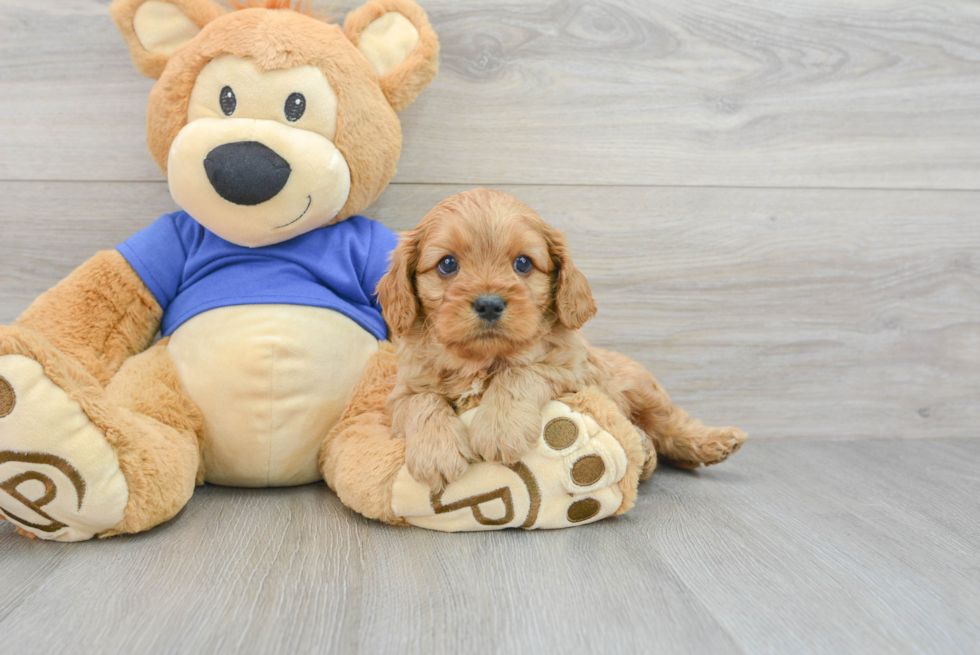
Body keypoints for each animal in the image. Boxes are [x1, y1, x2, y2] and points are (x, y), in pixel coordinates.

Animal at [378, 187, 748, 490]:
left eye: (523, 263)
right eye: (447, 264)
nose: (489, 304)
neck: (481, 359)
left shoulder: (572, 373)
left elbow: (521, 372)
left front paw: (500, 427)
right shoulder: (401, 392)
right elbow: (423, 402)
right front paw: (437, 453)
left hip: (644, 391)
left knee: (673, 426)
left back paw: (716, 442)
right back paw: (646, 451)